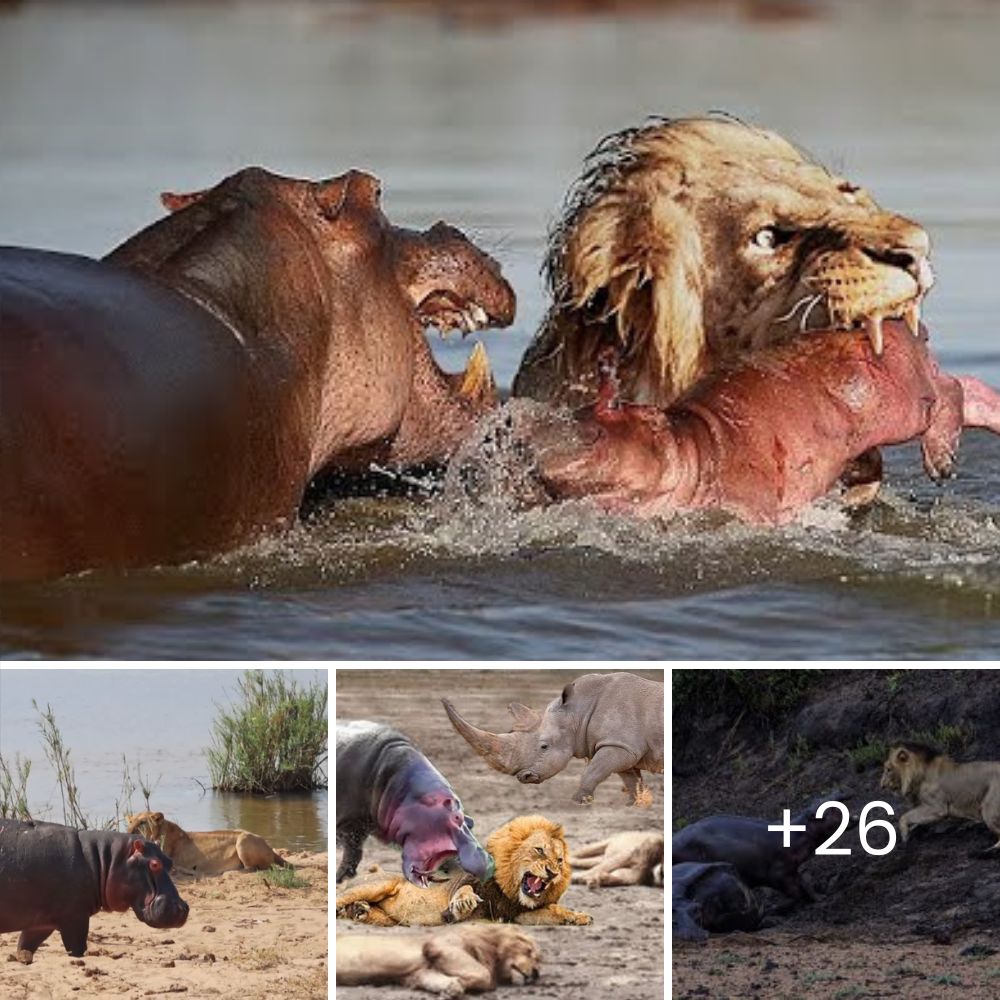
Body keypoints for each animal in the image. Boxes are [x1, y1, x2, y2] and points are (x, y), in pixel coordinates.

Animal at [126, 812, 286, 876]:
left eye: (142, 822)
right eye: (131, 821)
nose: (129, 831)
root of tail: (270, 848)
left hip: (243, 839)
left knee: (254, 869)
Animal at [334, 924, 540, 996]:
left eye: (539, 960)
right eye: (529, 951)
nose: (536, 973)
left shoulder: (418, 973)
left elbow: (431, 978)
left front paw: (452, 987)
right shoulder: (439, 944)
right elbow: (485, 976)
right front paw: (459, 984)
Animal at [336, 816, 588, 924]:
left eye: (560, 861)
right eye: (539, 850)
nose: (553, 873)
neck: (510, 891)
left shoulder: (516, 914)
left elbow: (552, 910)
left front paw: (576, 916)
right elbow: (464, 890)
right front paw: (464, 901)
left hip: (388, 917)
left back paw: (359, 910)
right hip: (376, 885)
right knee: (340, 897)